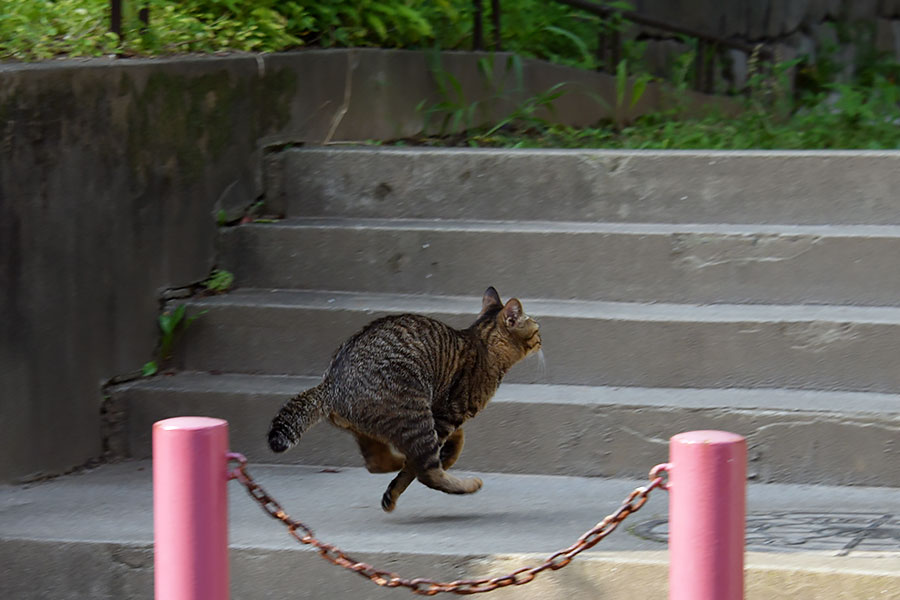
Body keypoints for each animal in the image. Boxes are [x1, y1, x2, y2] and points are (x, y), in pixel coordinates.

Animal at [268, 288, 540, 512]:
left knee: (378, 462)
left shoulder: (442, 412)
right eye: (537, 329)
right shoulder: (448, 414)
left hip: (374, 427)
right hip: (414, 414)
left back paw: (403, 464)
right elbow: (442, 448)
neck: (483, 344)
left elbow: (459, 438)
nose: (542, 339)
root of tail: (331, 385)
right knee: (425, 470)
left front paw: (449, 454)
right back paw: (464, 483)